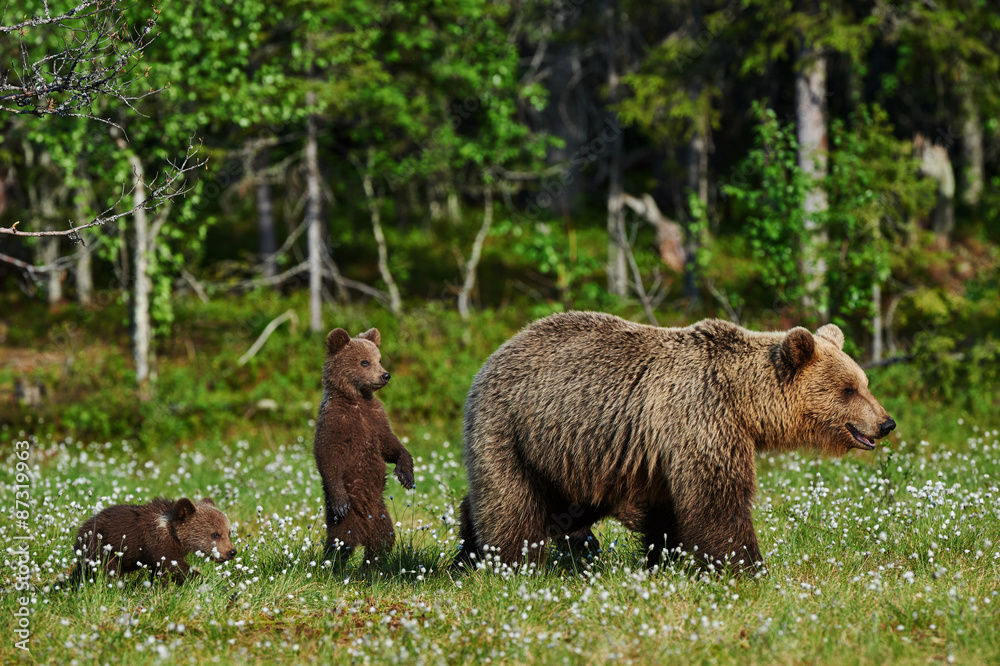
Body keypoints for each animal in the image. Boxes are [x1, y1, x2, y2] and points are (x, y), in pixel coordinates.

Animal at [71, 497, 236, 584]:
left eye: (228, 532)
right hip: (101, 547)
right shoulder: (158, 544)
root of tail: (82, 528)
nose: (232, 551)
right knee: (109, 570)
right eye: (215, 534)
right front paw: (206, 580)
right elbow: (174, 566)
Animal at [313, 327, 415, 563]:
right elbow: (327, 455)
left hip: (381, 514)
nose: (385, 375)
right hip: (347, 520)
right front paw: (340, 501)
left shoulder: (375, 419)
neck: (357, 400)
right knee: (340, 544)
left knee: (383, 541)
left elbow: (390, 445)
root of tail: (363, 532)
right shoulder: (335, 422)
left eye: (379, 359)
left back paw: (371, 564)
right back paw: (333, 564)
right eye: (364, 362)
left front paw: (406, 474)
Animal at [455, 311, 895, 572]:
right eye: (848, 389)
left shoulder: (659, 450)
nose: (886, 423)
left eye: (864, 383)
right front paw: (748, 567)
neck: (742, 401)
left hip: (567, 456)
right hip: (513, 430)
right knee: (512, 504)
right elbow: (718, 499)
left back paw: (467, 553)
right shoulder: (700, 417)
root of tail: (494, 354)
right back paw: (510, 563)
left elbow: (667, 510)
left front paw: (665, 559)